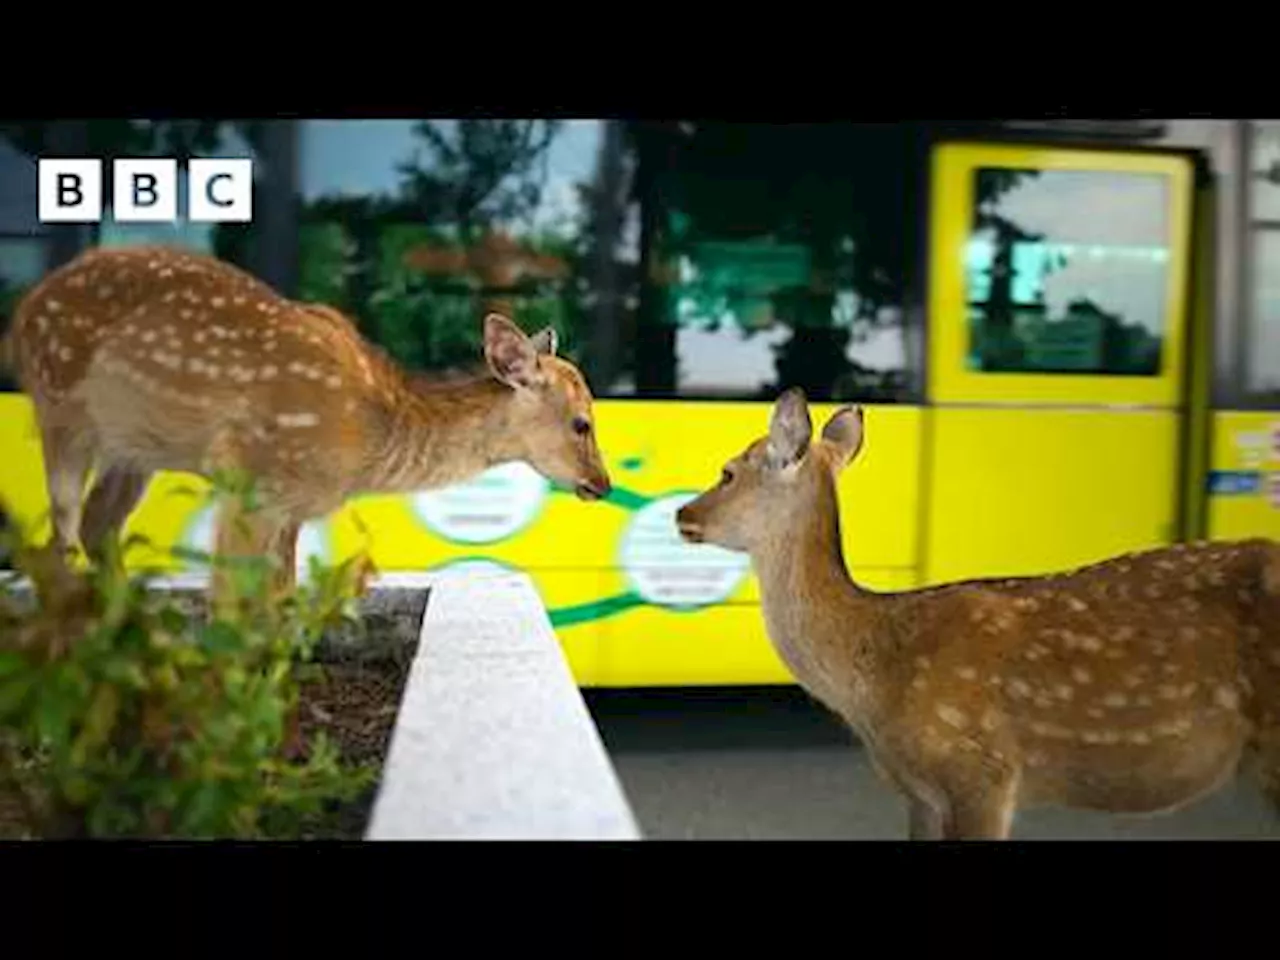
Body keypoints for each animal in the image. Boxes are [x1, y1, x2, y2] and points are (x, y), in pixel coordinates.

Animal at [3, 248, 614, 609]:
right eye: (581, 422)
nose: (602, 484)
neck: (370, 437)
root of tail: (22, 313)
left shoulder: (291, 507)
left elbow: (281, 601)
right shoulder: (250, 473)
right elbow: (232, 602)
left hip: (133, 450)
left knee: (96, 528)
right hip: (60, 407)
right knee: (58, 544)